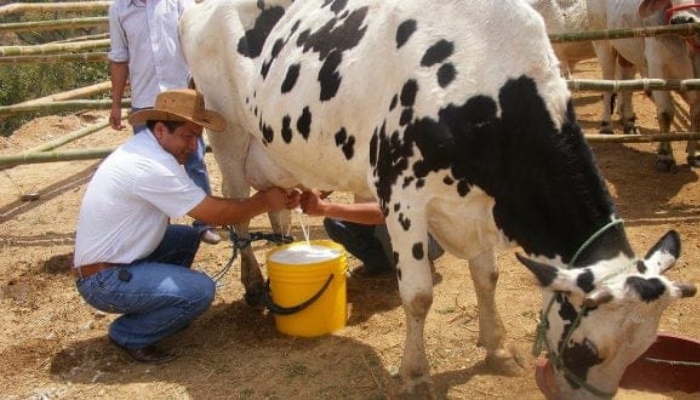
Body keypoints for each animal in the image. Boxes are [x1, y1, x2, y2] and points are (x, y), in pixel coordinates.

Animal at [179, 0, 696, 396]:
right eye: (590, 350)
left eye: (642, 350)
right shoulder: (403, 196)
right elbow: (419, 295)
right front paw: (415, 375)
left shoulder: (480, 204)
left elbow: (486, 277)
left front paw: (498, 349)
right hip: (227, 134)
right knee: (238, 210)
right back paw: (253, 286)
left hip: (276, 147)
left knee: (277, 205)